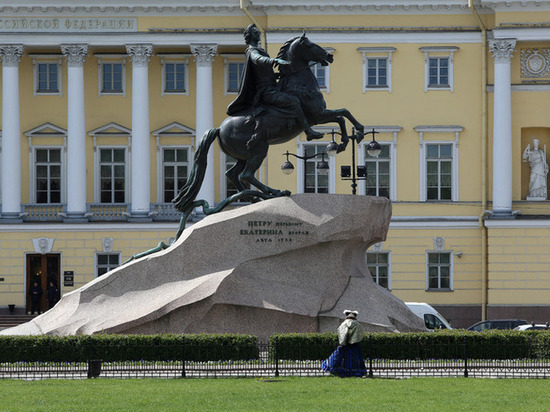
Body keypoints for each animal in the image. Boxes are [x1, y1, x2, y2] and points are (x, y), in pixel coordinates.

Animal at [175, 33, 366, 216]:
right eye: (310, 45)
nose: (329, 56)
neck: (299, 83)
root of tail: (219, 128)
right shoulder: (317, 115)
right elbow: (342, 114)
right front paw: (349, 137)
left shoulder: (319, 115)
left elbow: (343, 114)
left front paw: (351, 137)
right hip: (260, 148)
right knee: (246, 175)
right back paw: (273, 192)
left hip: (243, 155)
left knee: (233, 174)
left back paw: (253, 198)